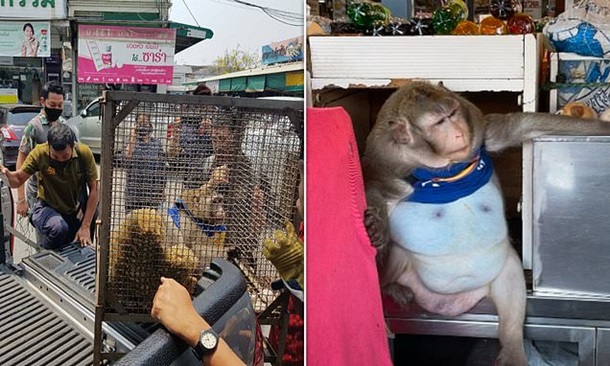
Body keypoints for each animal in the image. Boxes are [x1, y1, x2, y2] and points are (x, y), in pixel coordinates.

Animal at [94, 91, 302, 326]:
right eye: (217, 202)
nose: (221, 211)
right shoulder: (194, 214)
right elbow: (196, 225)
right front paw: (213, 181)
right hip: (141, 264)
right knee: (150, 226)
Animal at [360, 81, 610, 366]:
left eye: (454, 113)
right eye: (439, 122)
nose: (459, 132)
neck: (445, 173)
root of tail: (450, 304)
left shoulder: (481, 130)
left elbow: (522, 126)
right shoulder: (388, 166)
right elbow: (373, 186)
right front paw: (377, 227)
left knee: (511, 283)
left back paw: (512, 347)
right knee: (395, 256)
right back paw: (389, 287)